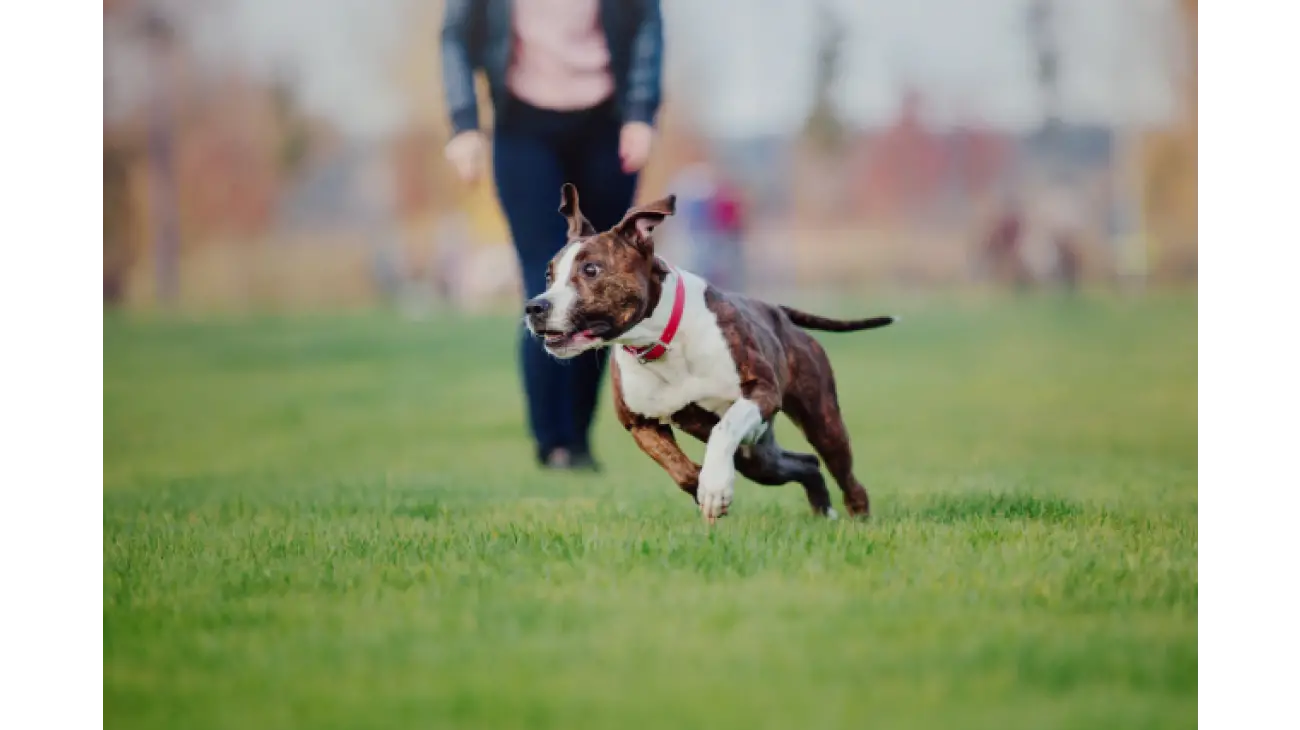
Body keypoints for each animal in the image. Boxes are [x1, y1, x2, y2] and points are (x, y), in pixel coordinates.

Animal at [517, 183, 894, 522]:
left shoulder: (760, 391)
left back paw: (858, 517)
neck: (661, 341)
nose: (535, 307)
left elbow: (722, 428)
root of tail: (778, 311)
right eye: (549, 274)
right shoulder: (640, 424)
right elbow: (681, 471)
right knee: (805, 464)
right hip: (759, 457)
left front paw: (714, 486)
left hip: (822, 422)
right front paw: (704, 486)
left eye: (591, 270)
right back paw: (822, 511)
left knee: (843, 472)